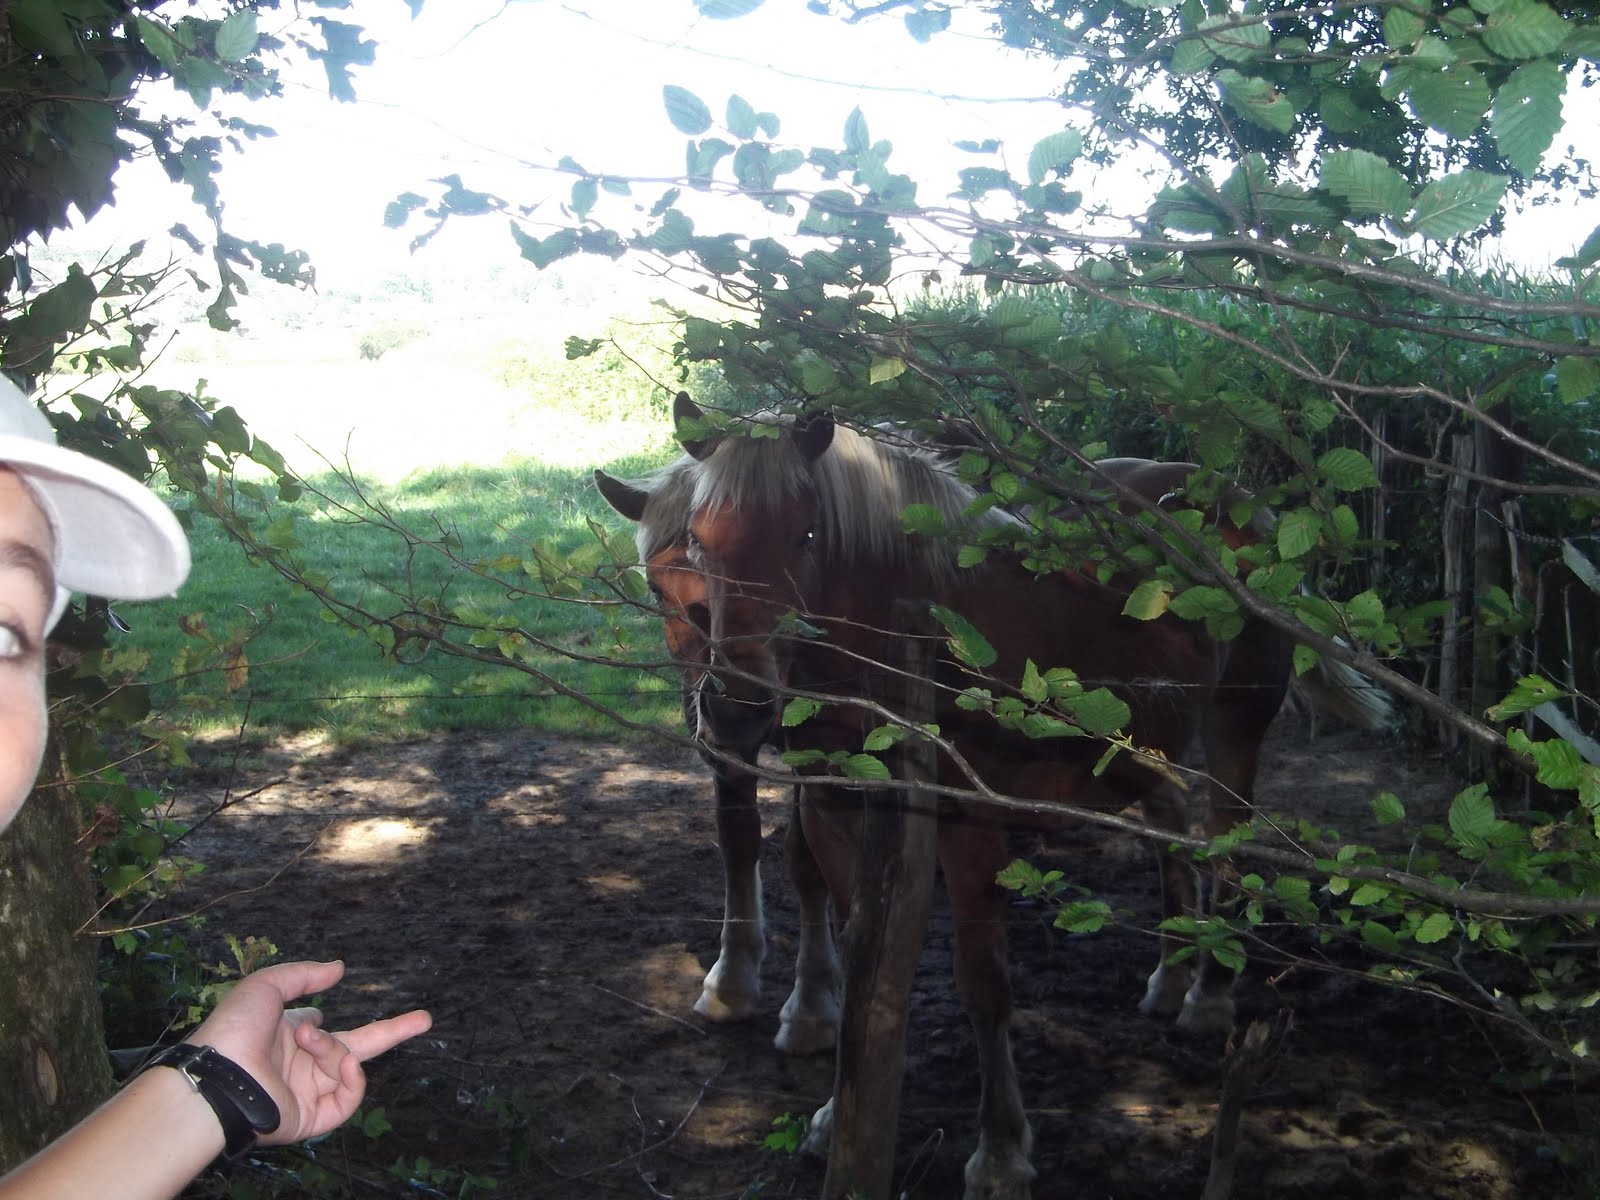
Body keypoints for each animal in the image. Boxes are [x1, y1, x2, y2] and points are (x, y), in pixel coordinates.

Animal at [600, 394, 1390, 1198]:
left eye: (807, 535)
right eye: (696, 545)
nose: (733, 711)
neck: (912, 624)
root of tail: (1244, 503)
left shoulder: (969, 822)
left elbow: (983, 984)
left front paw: (1002, 1149)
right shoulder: (831, 808)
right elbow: (857, 955)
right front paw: (830, 1113)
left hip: (1237, 725)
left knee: (1227, 846)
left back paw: (1208, 996)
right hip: (1145, 739)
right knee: (1170, 818)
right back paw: (1171, 978)